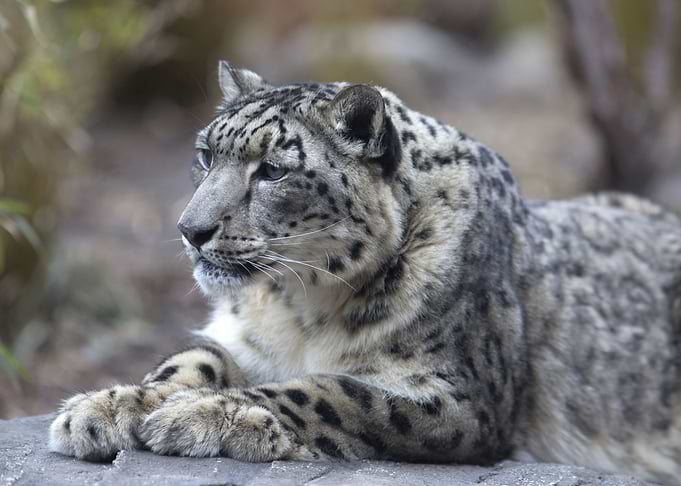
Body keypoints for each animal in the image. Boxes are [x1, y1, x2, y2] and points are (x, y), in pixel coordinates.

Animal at [49, 61, 681, 485]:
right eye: (206, 155)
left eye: (272, 170)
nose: (190, 229)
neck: (298, 308)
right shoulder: (239, 338)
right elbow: (190, 358)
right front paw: (109, 407)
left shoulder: (460, 398)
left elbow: (335, 391)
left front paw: (203, 414)